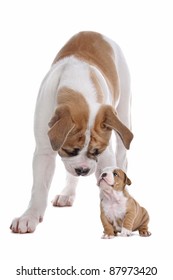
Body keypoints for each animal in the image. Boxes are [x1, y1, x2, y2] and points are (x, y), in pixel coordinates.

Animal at [10, 30, 133, 233]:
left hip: (123, 111)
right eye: (69, 150)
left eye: (97, 151)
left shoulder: (106, 153)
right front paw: (30, 216)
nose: (83, 169)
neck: (79, 89)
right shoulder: (44, 151)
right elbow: (39, 187)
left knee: (122, 156)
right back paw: (67, 193)